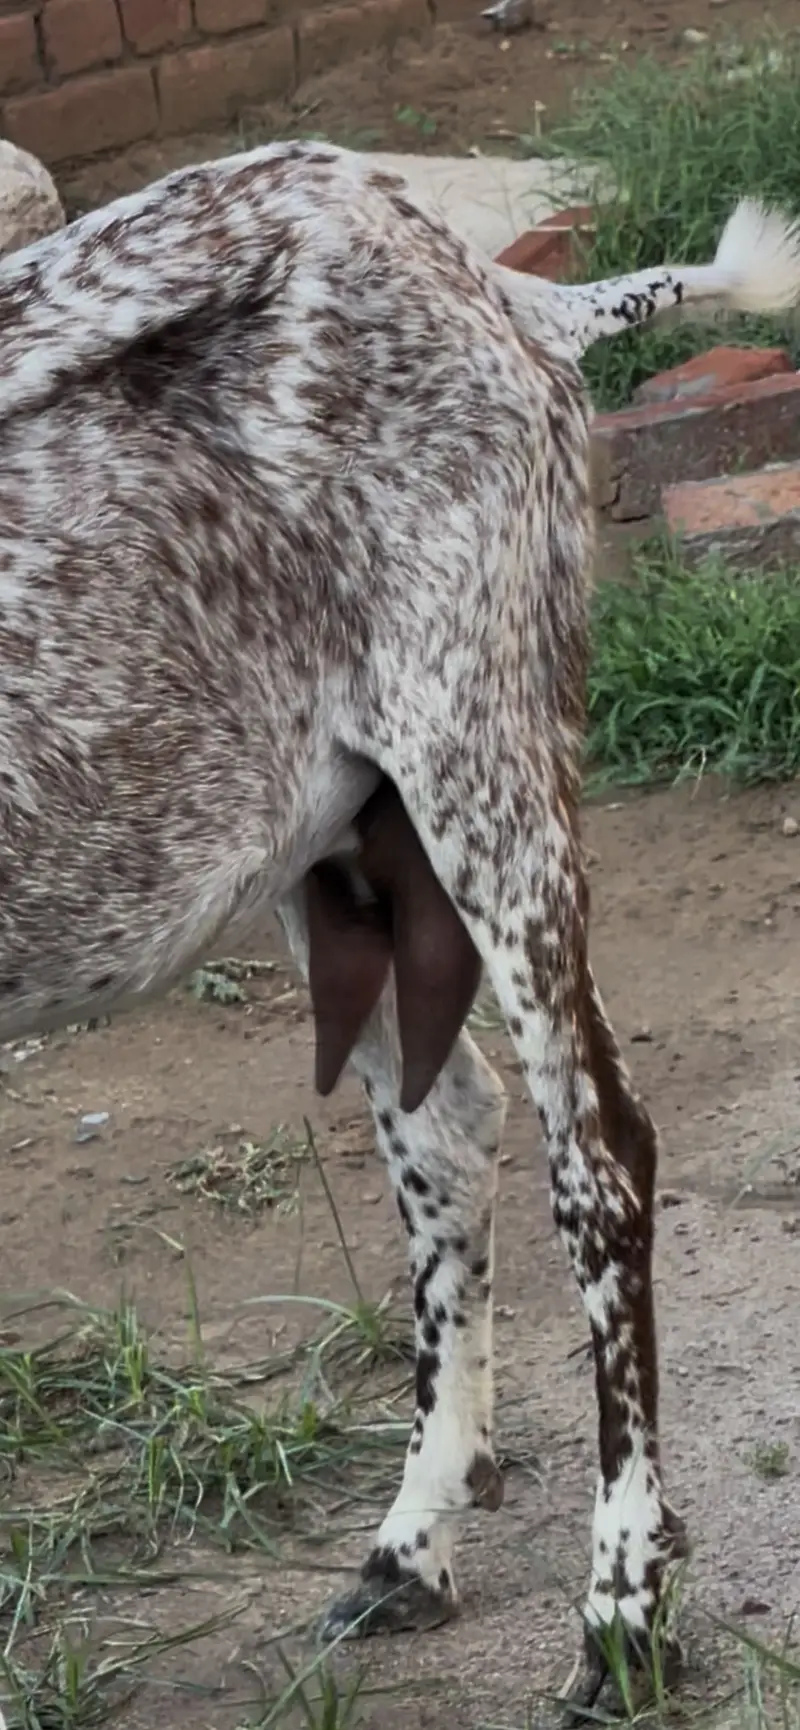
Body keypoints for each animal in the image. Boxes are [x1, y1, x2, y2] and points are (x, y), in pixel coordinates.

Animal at [1, 142, 798, 1691]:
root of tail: (506, 292)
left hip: (485, 757)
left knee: (599, 1156)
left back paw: (624, 1606)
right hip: (326, 844)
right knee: (447, 1130)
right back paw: (409, 1543)